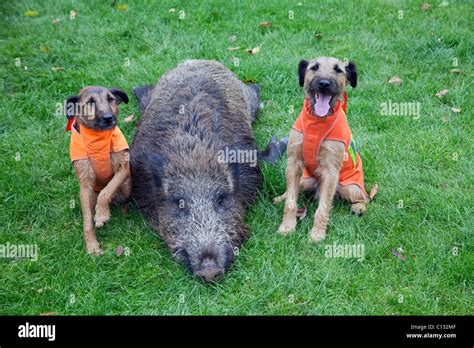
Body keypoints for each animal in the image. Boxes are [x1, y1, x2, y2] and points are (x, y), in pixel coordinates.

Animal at [65, 86, 131, 256]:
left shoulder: (124, 170)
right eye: (90, 102)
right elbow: (87, 220)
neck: (97, 139)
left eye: (110, 99)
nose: (108, 118)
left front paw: (101, 215)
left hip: (127, 187)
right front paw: (92, 246)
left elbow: (107, 191)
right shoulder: (85, 187)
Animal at [276, 57, 376, 242]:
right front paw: (287, 227)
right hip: (306, 179)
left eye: (338, 70)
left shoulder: (330, 172)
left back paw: (359, 207)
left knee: (365, 197)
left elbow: (322, 208)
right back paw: (281, 197)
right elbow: (291, 201)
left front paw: (317, 234)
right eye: (314, 67)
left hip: (350, 187)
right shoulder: (293, 163)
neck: (317, 123)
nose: (324, 84)